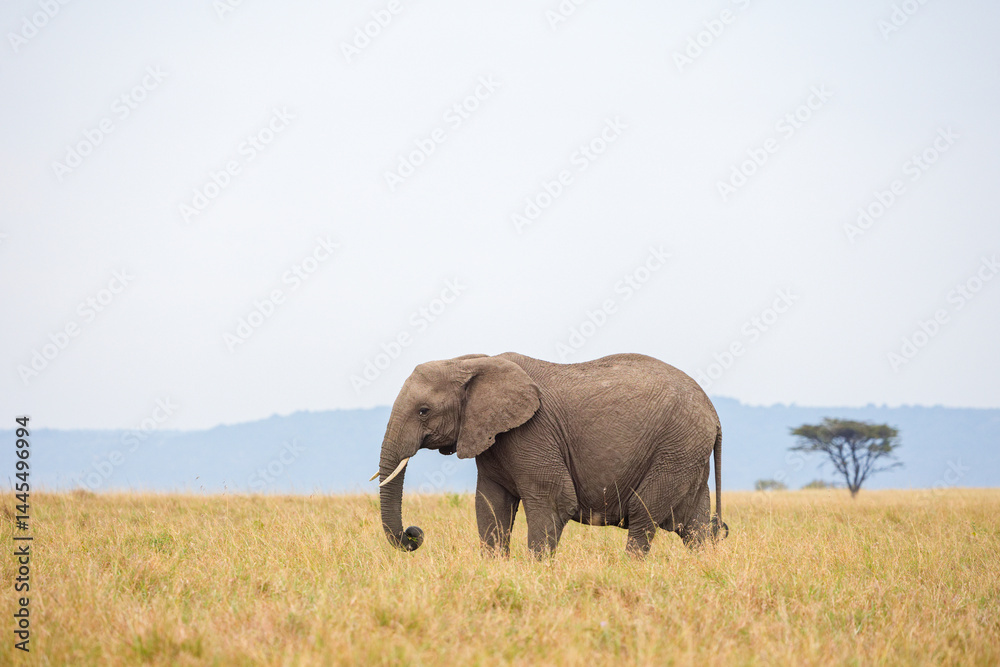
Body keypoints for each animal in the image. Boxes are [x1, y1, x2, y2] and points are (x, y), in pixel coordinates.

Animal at [372, 352, 728, 557]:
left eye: (423, 411)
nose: (414, 534)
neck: (470, 360)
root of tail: (713, 413)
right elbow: (490, 505)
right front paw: (494, 567)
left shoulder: (532, 432)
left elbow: (554, 501)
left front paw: (536, 571)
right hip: (687, 451)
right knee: (694, 526)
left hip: (675, 447)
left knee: (643, 516)